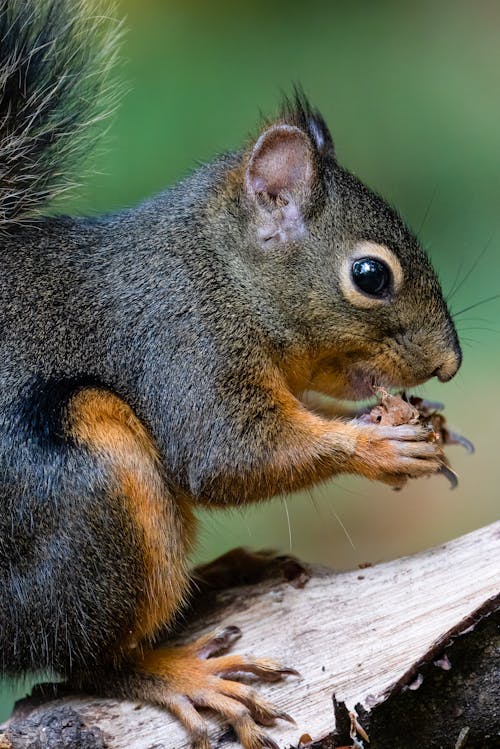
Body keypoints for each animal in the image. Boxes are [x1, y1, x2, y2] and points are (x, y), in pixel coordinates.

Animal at [0, 1, 460, 748]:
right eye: (370, 275)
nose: (451, 363)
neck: (222, 271)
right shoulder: (183, 338)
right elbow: (228, 455)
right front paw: (378, 445)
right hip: (85, 484)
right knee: (82, 663)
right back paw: (180, 674)